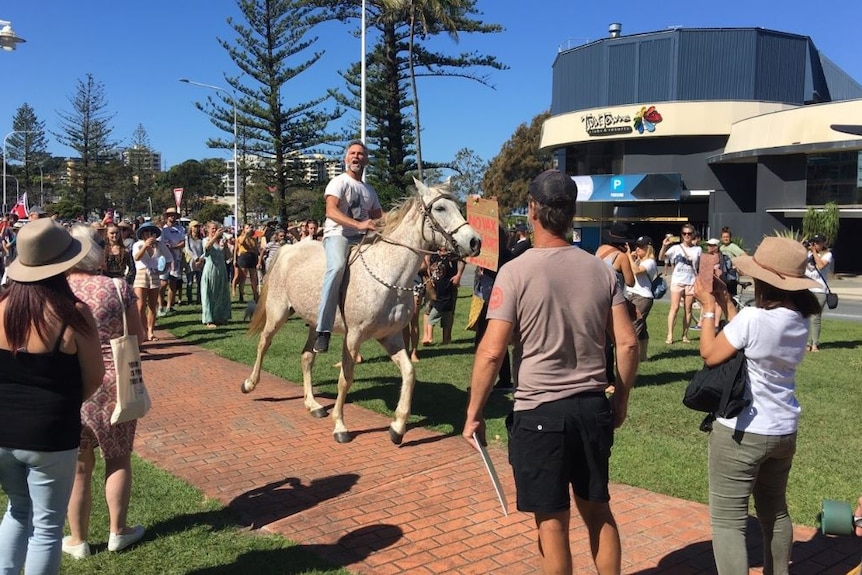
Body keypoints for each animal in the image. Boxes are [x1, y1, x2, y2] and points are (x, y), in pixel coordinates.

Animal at [245, 180, 486, 446]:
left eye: (458, 207)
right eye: (440, 208)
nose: (475, 241)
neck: (389, 275)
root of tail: (288, 248)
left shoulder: (391, 337)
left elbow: (409, 373)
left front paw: (397, 427)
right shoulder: (353, 337)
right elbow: (345, 378)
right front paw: (340, 426)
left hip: (316, 324)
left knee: (307, 357)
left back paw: (312, 404)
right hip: (277, 314)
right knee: (263, 343)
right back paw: (250, 383)